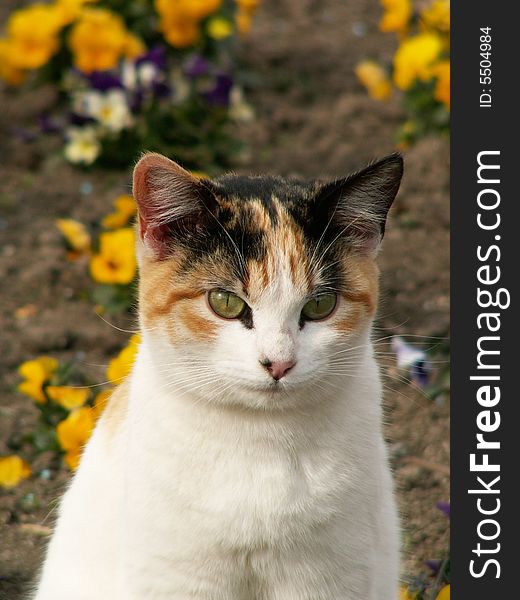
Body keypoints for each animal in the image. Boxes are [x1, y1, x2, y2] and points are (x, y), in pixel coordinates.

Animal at [34, 152, 404, 596]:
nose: (278, 363)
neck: (260, 441)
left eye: (321, 305)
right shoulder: (177, 577)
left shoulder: (327, 574)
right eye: (225, 302)